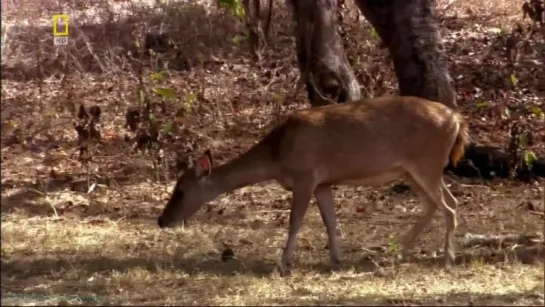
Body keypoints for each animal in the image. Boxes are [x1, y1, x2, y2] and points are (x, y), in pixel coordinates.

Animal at [156, 96, 468, 276]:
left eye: (180, 190)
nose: (162, 220)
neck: (277, 156)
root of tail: (457, 119)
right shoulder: (323, 183)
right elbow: (331, 221)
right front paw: (337, 259)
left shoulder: (305, 177)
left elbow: (295, 221)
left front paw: (283, 264)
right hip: (412, 170)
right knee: (437, 203)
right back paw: (401, 252)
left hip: (427, 162)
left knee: (449, 206)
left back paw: (447, 260)